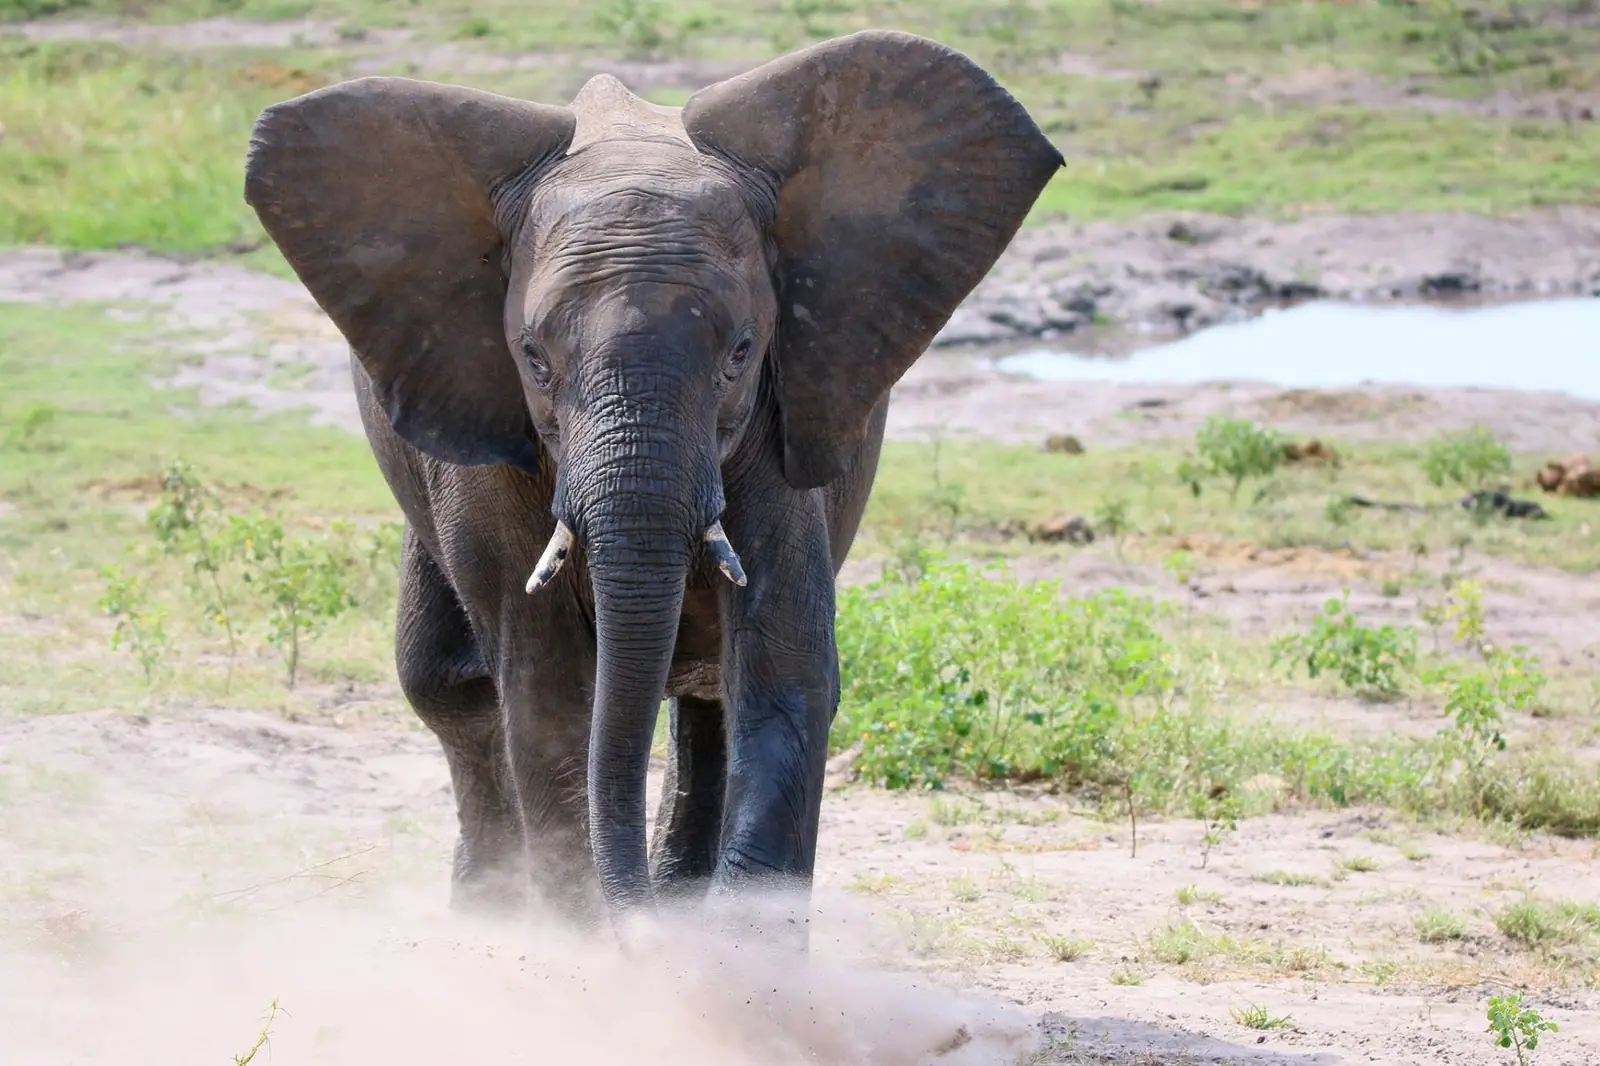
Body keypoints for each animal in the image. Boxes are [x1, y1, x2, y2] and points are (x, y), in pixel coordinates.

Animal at [244, 29, 1061, 939]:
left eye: (740, 351)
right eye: (534, 358)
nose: (632, 923)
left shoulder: (781, 411)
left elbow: (785, 670)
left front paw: (735, 964)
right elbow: (546, 687)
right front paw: (588, 947)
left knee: (705, 697)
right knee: (446, 685)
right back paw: (492, 915)